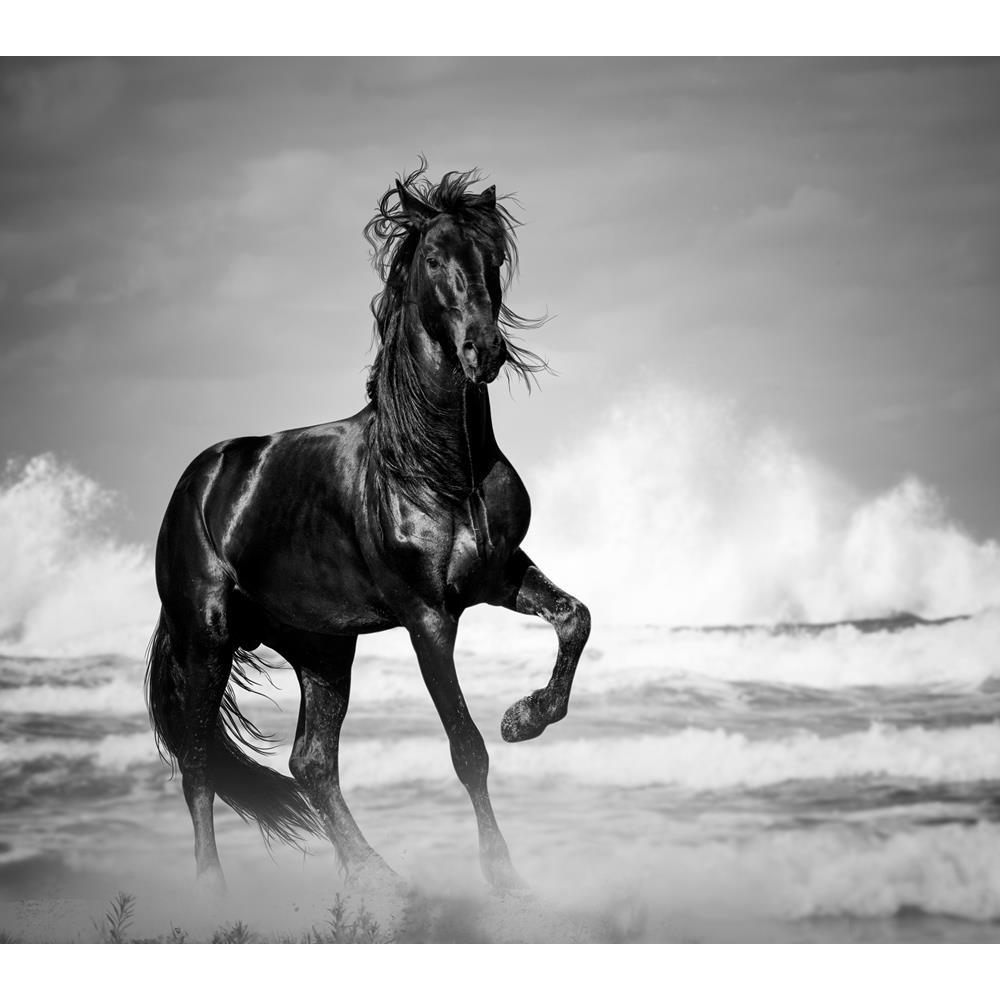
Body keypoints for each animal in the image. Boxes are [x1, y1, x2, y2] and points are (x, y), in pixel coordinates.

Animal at [145, 163, 591, 894]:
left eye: (493, 257)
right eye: (434, 258)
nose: (485, 350)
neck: (436, 467)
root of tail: (199, 483)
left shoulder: (501, 576)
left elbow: (574, 618)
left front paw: (524, 718)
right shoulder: (427, 616)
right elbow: (466, 749)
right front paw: (504, 878)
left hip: (322, 649)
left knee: (311, 762)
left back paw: (379, 881)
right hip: (206, 638)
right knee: (200, 767)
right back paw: (214, 891)